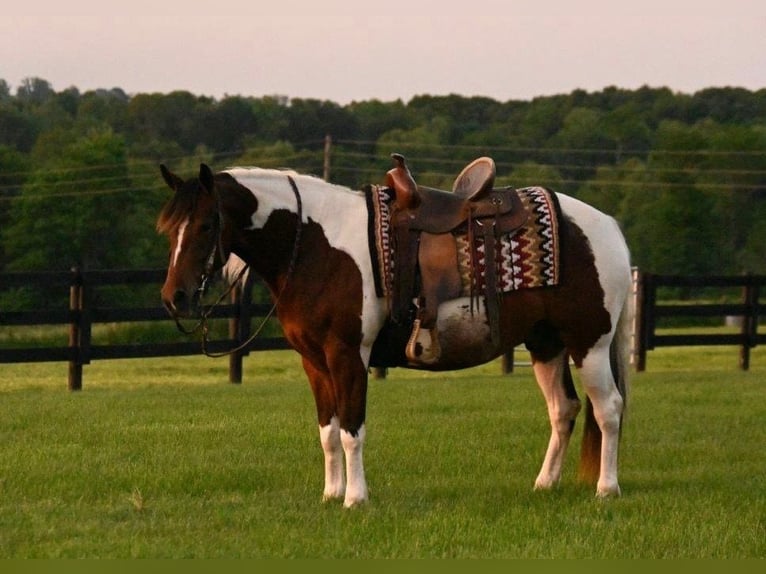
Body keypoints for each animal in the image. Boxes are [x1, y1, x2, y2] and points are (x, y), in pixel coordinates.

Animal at [156, 158, 633, 507]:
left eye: (205, 225)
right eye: (168, 229)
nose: (174, 297)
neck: (315, 245)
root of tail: (607, 225)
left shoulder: (348, 355)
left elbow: (351, 430)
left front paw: (355, 499)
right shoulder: (314, 362)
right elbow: (327, 432)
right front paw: (330, 495)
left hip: (590, 343)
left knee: (608, 409)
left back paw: (606, 489)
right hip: (546, 343)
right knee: (564, 409)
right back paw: (544, 484)